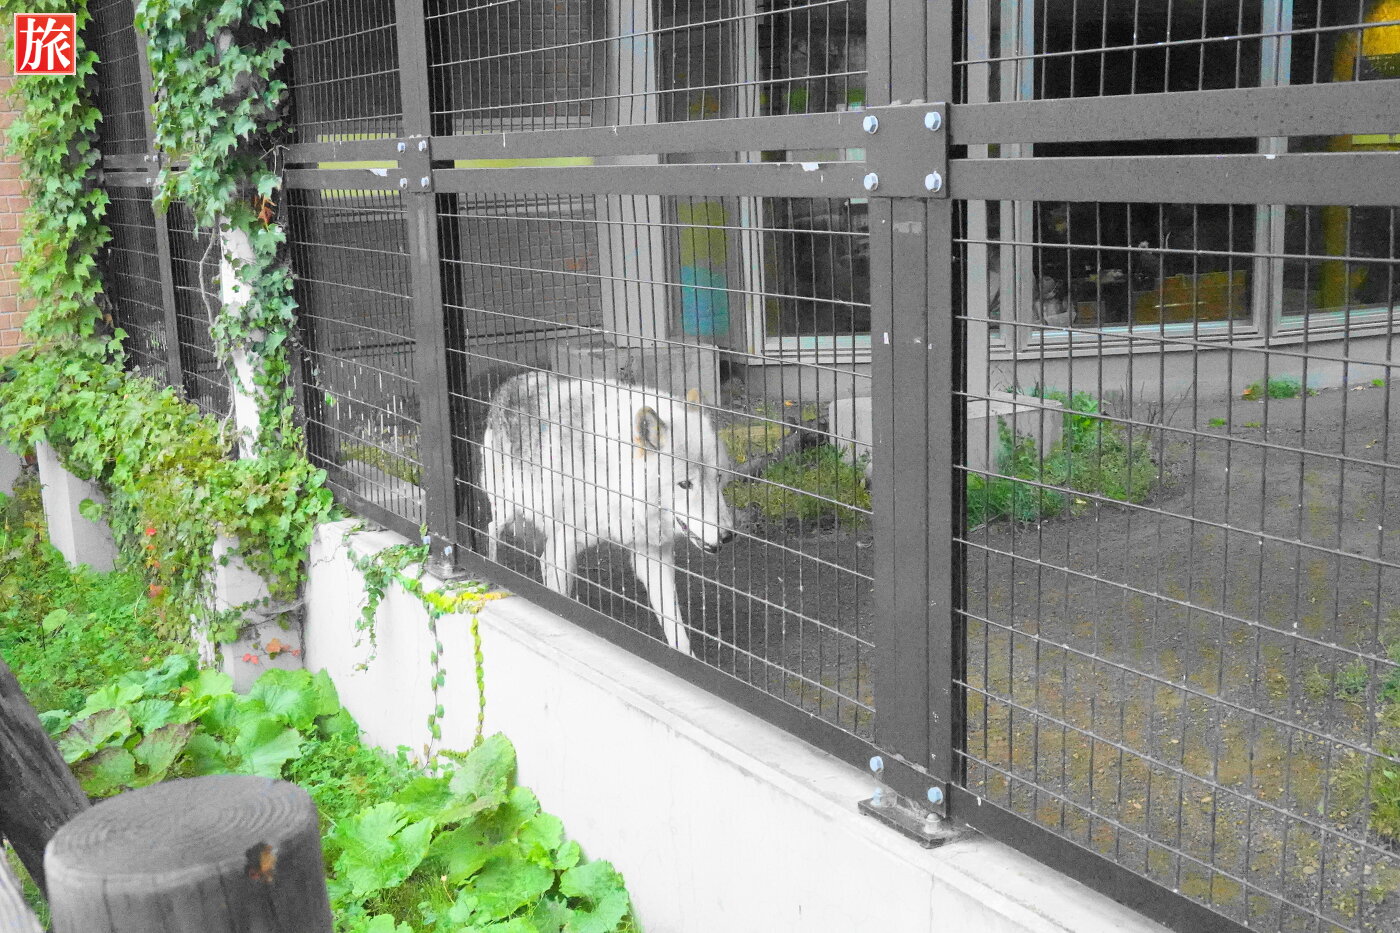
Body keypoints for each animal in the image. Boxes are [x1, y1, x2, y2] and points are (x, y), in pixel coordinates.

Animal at [479, 372, 737, 656]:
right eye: (685, 484)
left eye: (718, 478)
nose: (727, 535)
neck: (612, 473)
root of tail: (510, 382)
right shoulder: (565, 541)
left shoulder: (652, 553)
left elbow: (675, 626)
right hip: (510, 509)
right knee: (492, 529)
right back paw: (494, 571)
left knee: (543, 559)